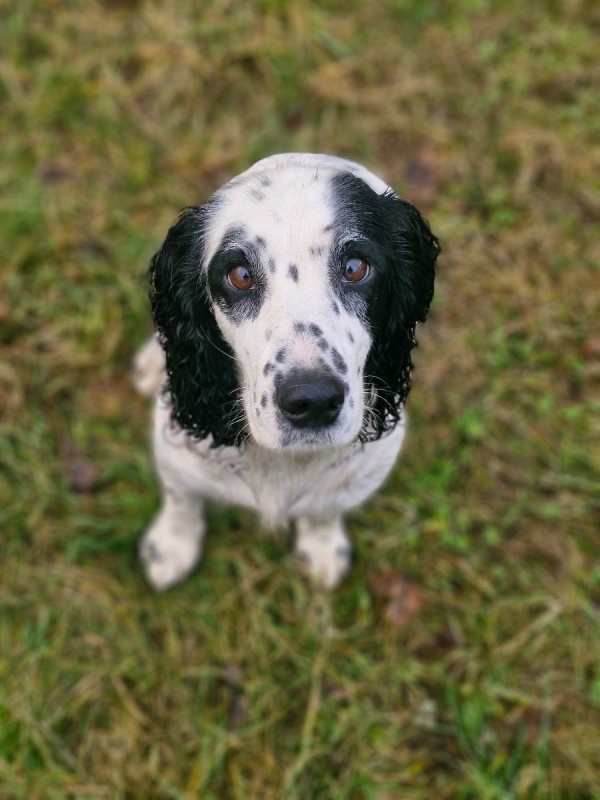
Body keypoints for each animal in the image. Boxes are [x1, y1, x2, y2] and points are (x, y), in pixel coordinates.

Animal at [134, 153, 439, 590]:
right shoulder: (178, 453)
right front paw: (171, 546)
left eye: (355, 267)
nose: (313, 401)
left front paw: (323, 547)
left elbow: (325, 507)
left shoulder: (362, 470)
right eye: (240, 275)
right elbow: (182, 500)